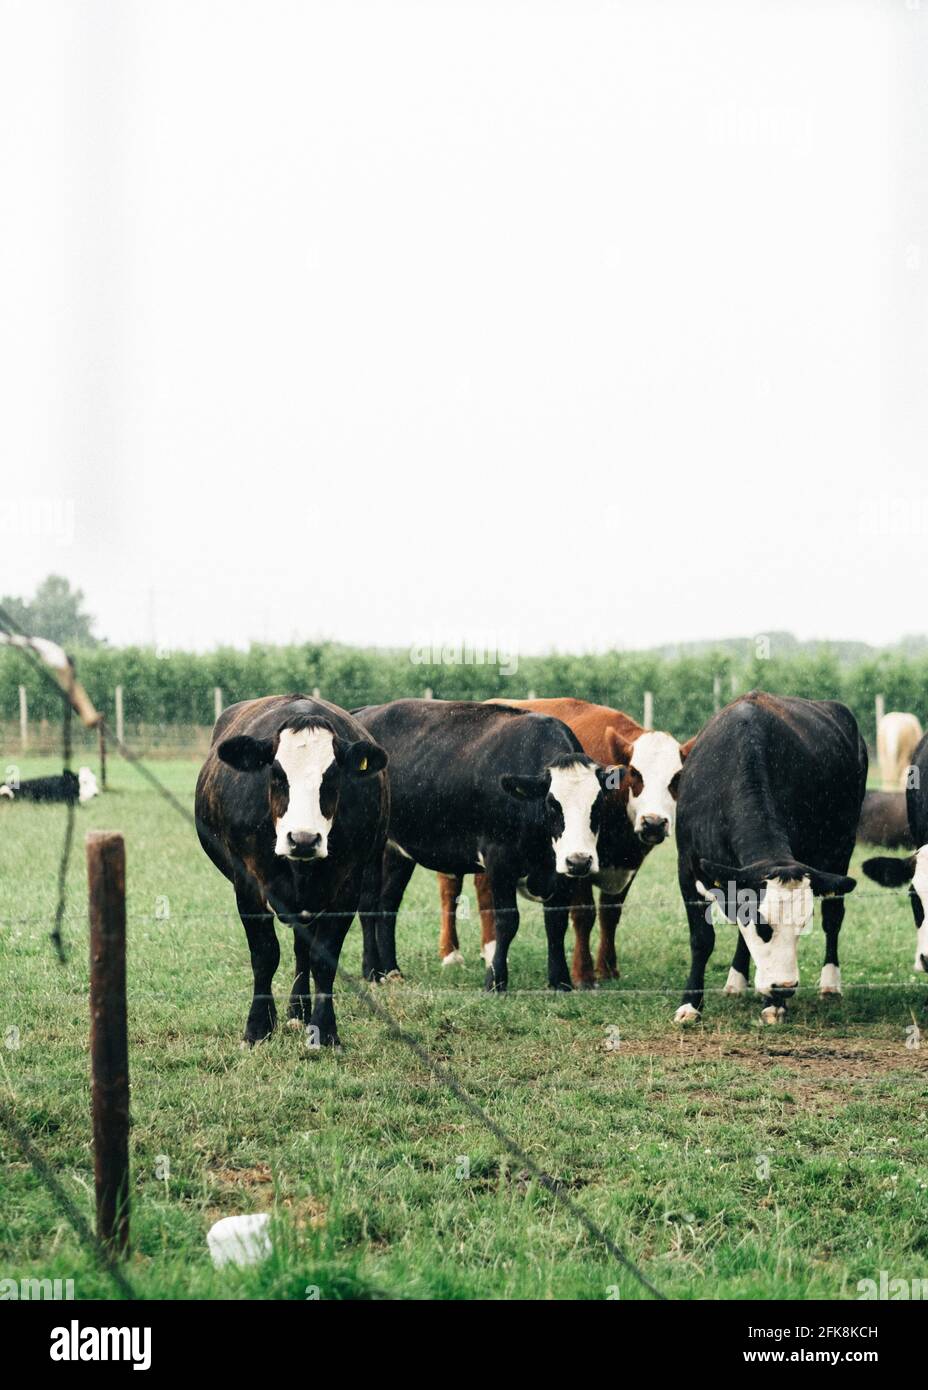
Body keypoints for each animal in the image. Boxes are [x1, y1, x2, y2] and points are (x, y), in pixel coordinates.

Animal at [195, 695, 388, 1045]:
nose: (303, 839)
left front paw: (325, 1030)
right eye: (276, 774)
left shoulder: (347, 886)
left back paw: (299, 1009)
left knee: (303, 950)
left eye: (332, 776)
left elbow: (323, 958)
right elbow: (264, 954)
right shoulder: (248, 884)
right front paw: (257, 1027)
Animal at [347, 700, 622, 995]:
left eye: (598, 804)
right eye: (552, 804)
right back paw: (372, 970)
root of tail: (364, 712)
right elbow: (507, 920)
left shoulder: (560, 871)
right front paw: (496, 981)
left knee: (388, 904)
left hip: (397, 853)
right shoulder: (499, 859)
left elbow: (556, 922)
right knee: (368, 904)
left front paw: (560, 981)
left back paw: (392, 969)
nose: (579, 861)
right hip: (372, 851)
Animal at [436, 700, 694, 984]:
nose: (654, 823)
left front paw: (607, 968)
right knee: (450, 891)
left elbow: (610, 914)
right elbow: (584, 914)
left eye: (677, 778)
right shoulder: (575, 862)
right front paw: (583, 973)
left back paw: (489, 950)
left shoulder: (627, 866)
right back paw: (451, 954)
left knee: (484, 893)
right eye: (635, 774)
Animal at [675, 692, 861, 1028]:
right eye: (762, 923)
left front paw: (774, 1005)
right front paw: (690, 1003)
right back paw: (736, 981)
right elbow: (702, 939)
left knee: (833, 916)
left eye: (803, 922)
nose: (783, 987)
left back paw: (830, 983)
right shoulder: (688, 867)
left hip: (843, 850)